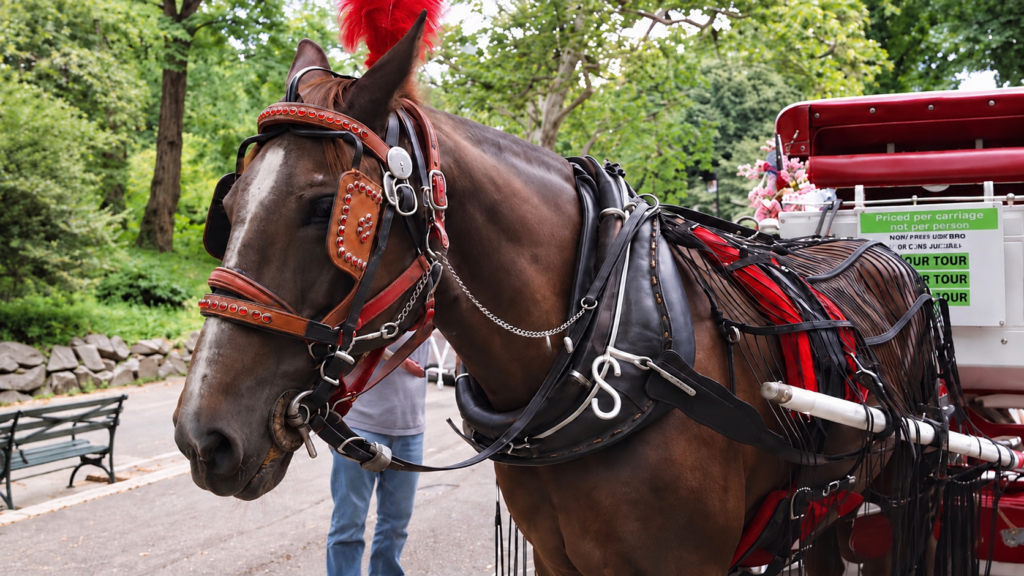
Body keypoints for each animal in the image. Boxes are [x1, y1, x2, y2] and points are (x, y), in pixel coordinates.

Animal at [173, 16, 950, 575]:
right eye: (228, 207)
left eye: (323, 209)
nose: (201, 436)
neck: (611, 347)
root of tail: (891, 257)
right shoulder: (558, 559)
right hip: (831, 505)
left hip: (898, 488)